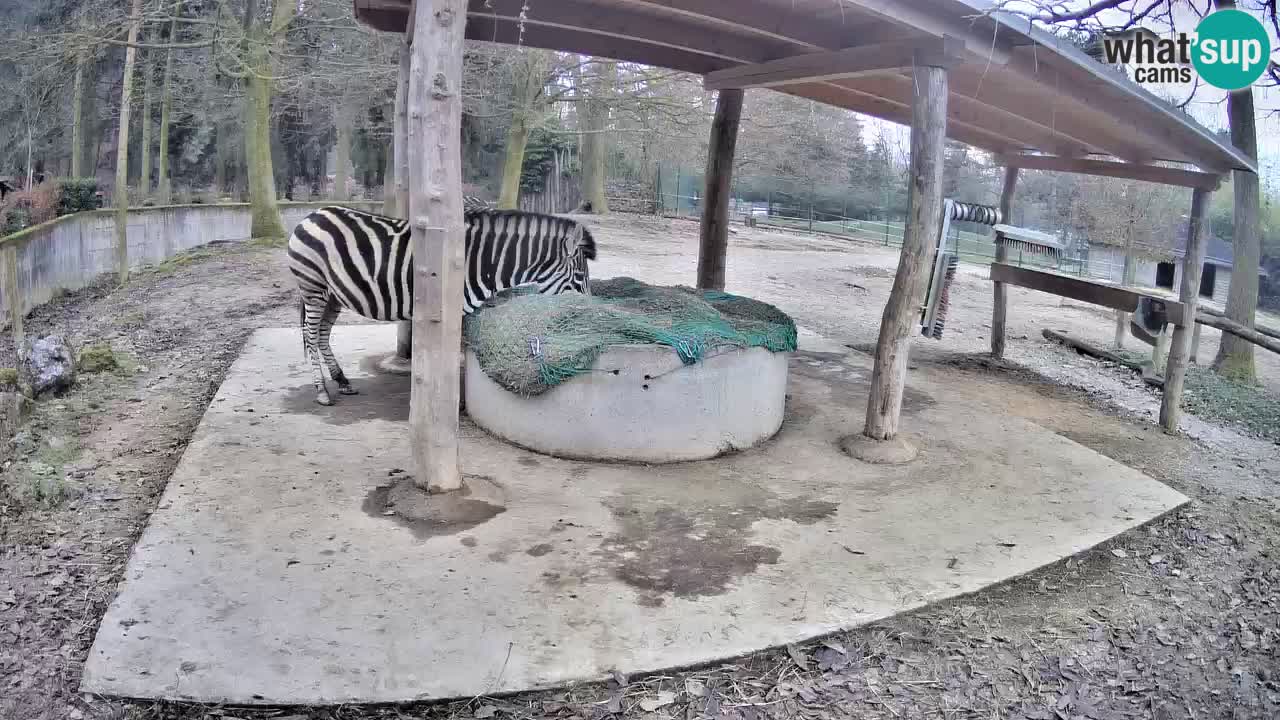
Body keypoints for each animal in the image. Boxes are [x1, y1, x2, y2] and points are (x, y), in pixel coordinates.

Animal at [286, 204, 597, 406]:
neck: (482, 263)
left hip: (333, 294)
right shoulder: (451, 310)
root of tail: (312, 214)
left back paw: (342, 381)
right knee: (310, 336)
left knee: (322, 335)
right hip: (313, 287)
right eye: (579, 278)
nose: (591, 311)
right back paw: (322, 391)